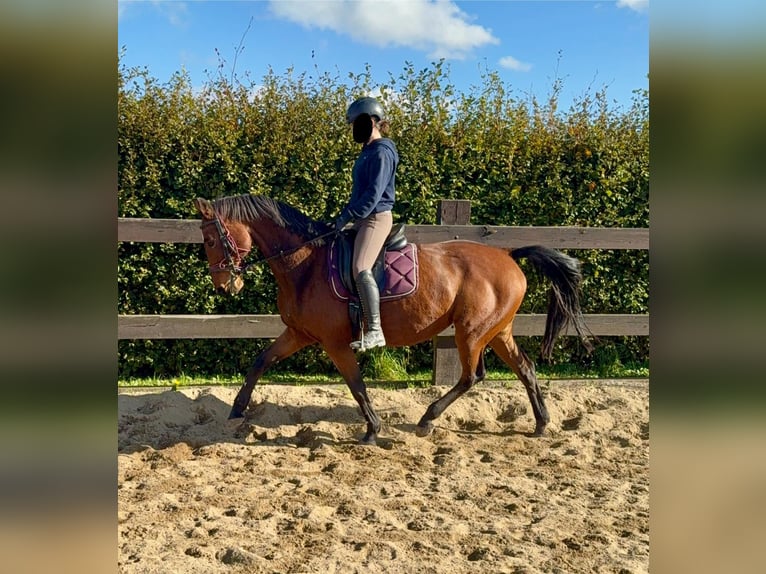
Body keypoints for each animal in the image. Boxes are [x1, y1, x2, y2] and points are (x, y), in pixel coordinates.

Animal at [194, 194, 592, 445]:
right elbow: (261, 361)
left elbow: (356, 384)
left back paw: (427, 420)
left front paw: (372, 430)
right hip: (497, 331)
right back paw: (541, 423)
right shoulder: (298, 333)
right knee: (525, 368)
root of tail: (508, 254)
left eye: (211, 240)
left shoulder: (335, 343)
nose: (225, 284)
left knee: (472, 376)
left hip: (471, 332)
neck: (305, 263)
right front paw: (236, 410)